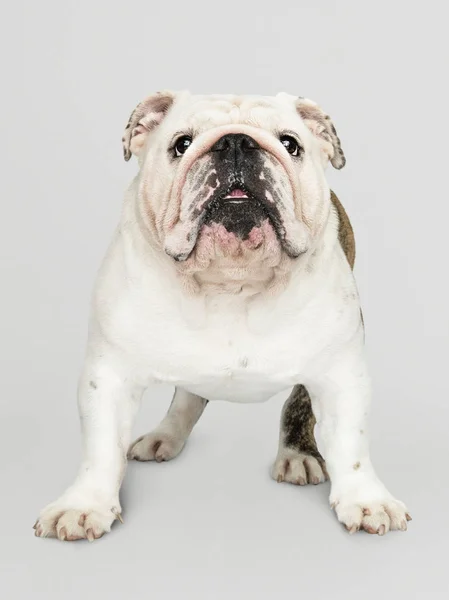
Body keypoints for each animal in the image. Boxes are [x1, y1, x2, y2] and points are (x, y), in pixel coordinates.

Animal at [35, 91, 410, 540]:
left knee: (296, 403)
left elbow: (351, 444)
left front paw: (366, 500)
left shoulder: (341, 374)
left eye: (290, 144)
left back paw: (297, 455)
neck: (230, 281)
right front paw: (83, 504)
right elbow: (101, 445)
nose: (236, 143)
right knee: (188, 395)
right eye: (181, 144)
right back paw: (165, 435)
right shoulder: (107, 375)